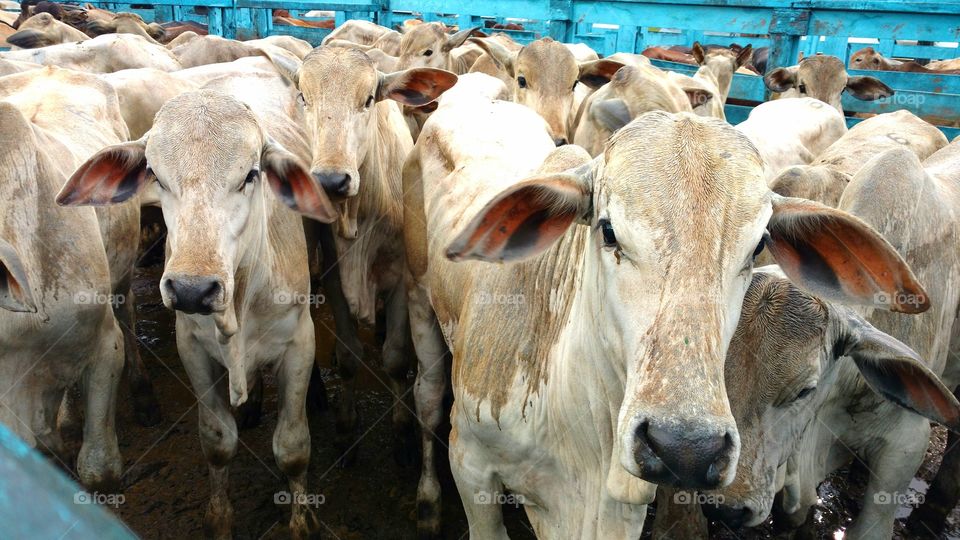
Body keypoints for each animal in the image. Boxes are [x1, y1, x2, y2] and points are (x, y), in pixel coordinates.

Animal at [56, 71, 338, 539]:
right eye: (154, 173)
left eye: (251, 174)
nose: (192, 289)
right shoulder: (193, 348)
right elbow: (217, 442)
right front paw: (219, 520)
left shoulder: (299, 342)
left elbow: (293, 447)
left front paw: (300, 522)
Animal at [286, 45, 456, 464]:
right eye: (304, 97)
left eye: (367, 99)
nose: (330, 180)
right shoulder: (334, 278)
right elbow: (350, 357)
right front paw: (346, 427)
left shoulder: (402, 280)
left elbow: (395, 357)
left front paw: (402, 431)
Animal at [403, 97, 925, 537]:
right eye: (608, 231)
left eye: (759, 244)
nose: (685, 448)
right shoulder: (470, 464)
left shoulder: (620, 511)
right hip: (418, 303)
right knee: (427, 396)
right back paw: (426, 499)